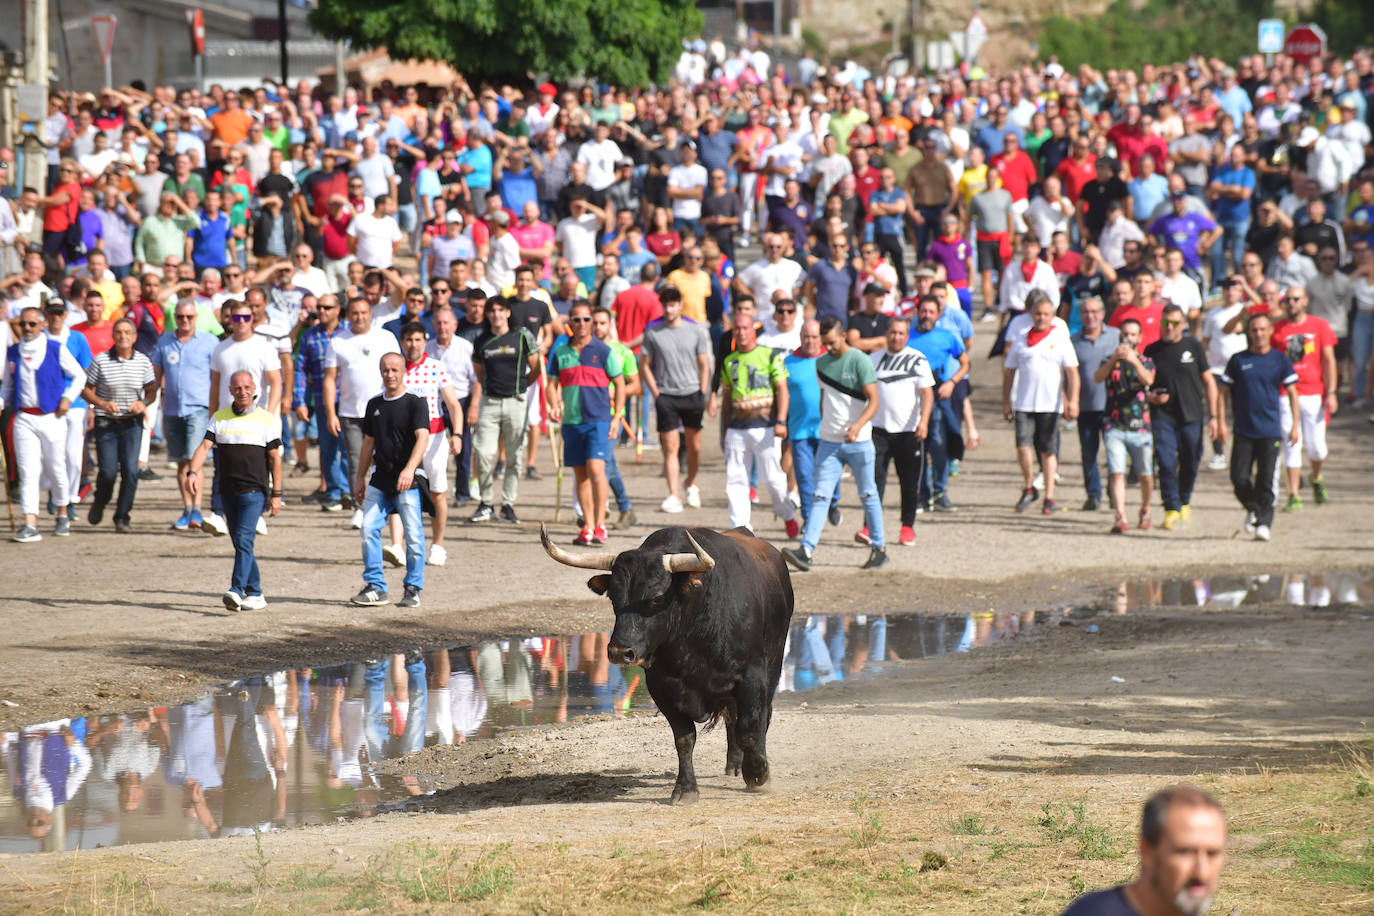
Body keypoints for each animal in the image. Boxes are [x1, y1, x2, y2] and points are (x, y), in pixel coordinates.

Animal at [538, 527, 796, 807]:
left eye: (657, 597)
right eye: (613, 597)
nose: (619, 652)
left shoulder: (753, 677)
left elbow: (749, 729)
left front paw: (758, 773)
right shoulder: (660, 687)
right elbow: (684, 738)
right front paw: (685, 789)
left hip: (773, 665)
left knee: (760, 718)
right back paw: (733, 765)